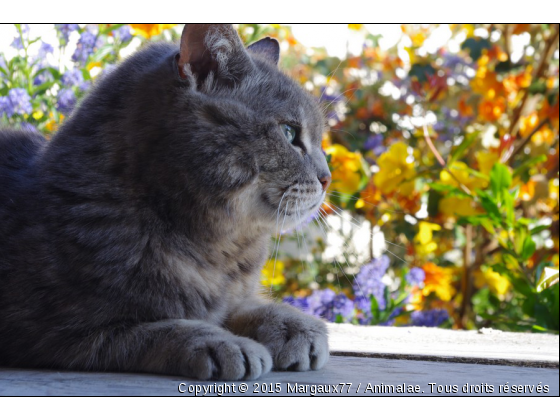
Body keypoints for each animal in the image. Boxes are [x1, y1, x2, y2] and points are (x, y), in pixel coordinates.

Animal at [0, 25, 330, 380]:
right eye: (289, 133)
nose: (327, 178)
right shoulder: (61, 333)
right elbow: (160, 330)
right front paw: (225, 343)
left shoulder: (228, 297)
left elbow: (240, 306)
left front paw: (290, 324)